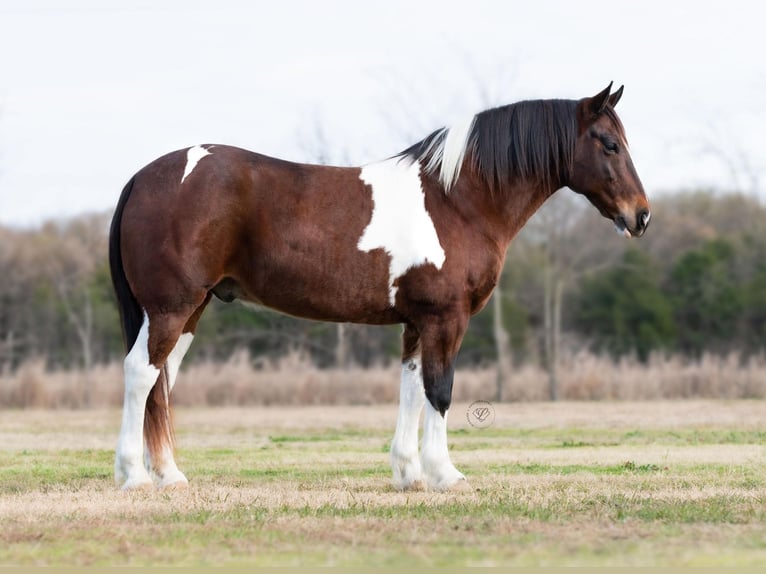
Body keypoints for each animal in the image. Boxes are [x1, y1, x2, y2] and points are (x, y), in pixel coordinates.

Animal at [109, 81, 648, 492]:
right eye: (609, 143)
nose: (641, 215)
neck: (456, 200)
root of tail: (141, 177)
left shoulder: (416, 321)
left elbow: (411, 388)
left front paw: (409, 474)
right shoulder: (446, 318)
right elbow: (440, 391)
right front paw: (446, 474)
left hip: (191, 310)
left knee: (161, 383)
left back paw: (170, 475)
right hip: (170, 308)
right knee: (140, 373)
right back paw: (134, 476)